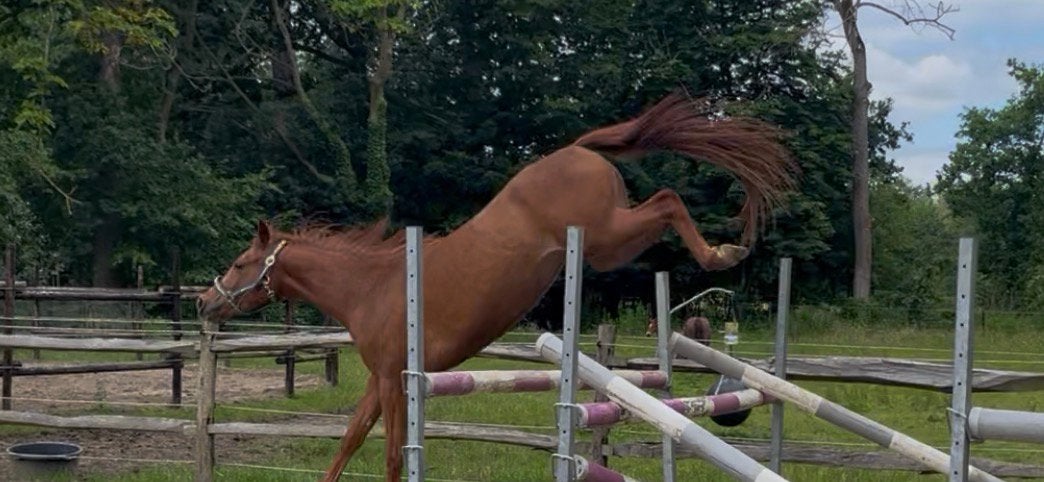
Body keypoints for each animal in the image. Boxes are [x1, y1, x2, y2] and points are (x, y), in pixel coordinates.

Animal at [195, 93, 796, 481]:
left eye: (239, 263)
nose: (204, 302)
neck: (370, 286)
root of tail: (578, 149)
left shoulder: (393, 381)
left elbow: (392, 454)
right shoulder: (381, 380)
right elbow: (349, 441)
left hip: (606, 239)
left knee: (669, 199)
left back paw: (723, 252)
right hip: (610, 242)